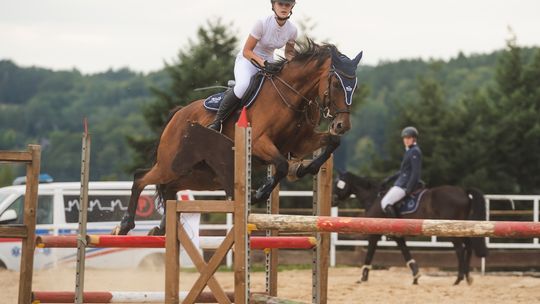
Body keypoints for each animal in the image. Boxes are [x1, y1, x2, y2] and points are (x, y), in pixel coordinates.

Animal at [116, 40, 364, 235]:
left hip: (199, 176)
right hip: (171, 165)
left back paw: (160, 229)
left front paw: (305, 169)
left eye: (354, 86)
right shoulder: (259, 143)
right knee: (140, 178)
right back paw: (125, 225)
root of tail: (177, 114)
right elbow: (281, 165)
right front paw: (259, 193)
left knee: (168, 189)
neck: (290, 97)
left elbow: (332, 142)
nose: (342, 125)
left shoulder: (300, 143)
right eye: (336, 83)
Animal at [334, 172, 490, 286]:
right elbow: (406, 253)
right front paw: (416, 276)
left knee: (460, 249)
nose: (333, 200)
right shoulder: (398, 237)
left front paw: (363, 277)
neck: (374, 198)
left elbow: (369, 254)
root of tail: (463, 191)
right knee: (468, 247)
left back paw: (458, 279)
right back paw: (468, 278)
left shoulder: (374, 234)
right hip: (462, 228)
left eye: (338, 185)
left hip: (451, 230)